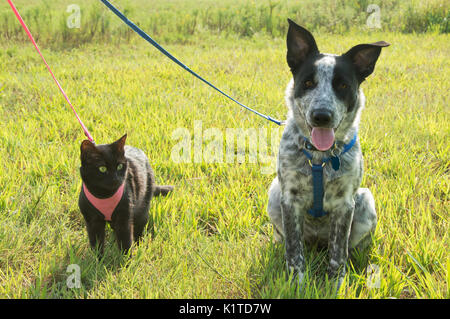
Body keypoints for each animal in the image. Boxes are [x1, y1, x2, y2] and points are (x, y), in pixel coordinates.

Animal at [268, 18, 390, 286]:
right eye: (308, 83)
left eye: (343, 85)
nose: (321, 116)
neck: (320, 158)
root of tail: (317, 241)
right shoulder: (289, 199)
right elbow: (294, 250)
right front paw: (296, 284)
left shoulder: (345, 204)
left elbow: (338, 251)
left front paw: (336, 283)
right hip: (273, 194)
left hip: (366, 201)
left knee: (349, 247)